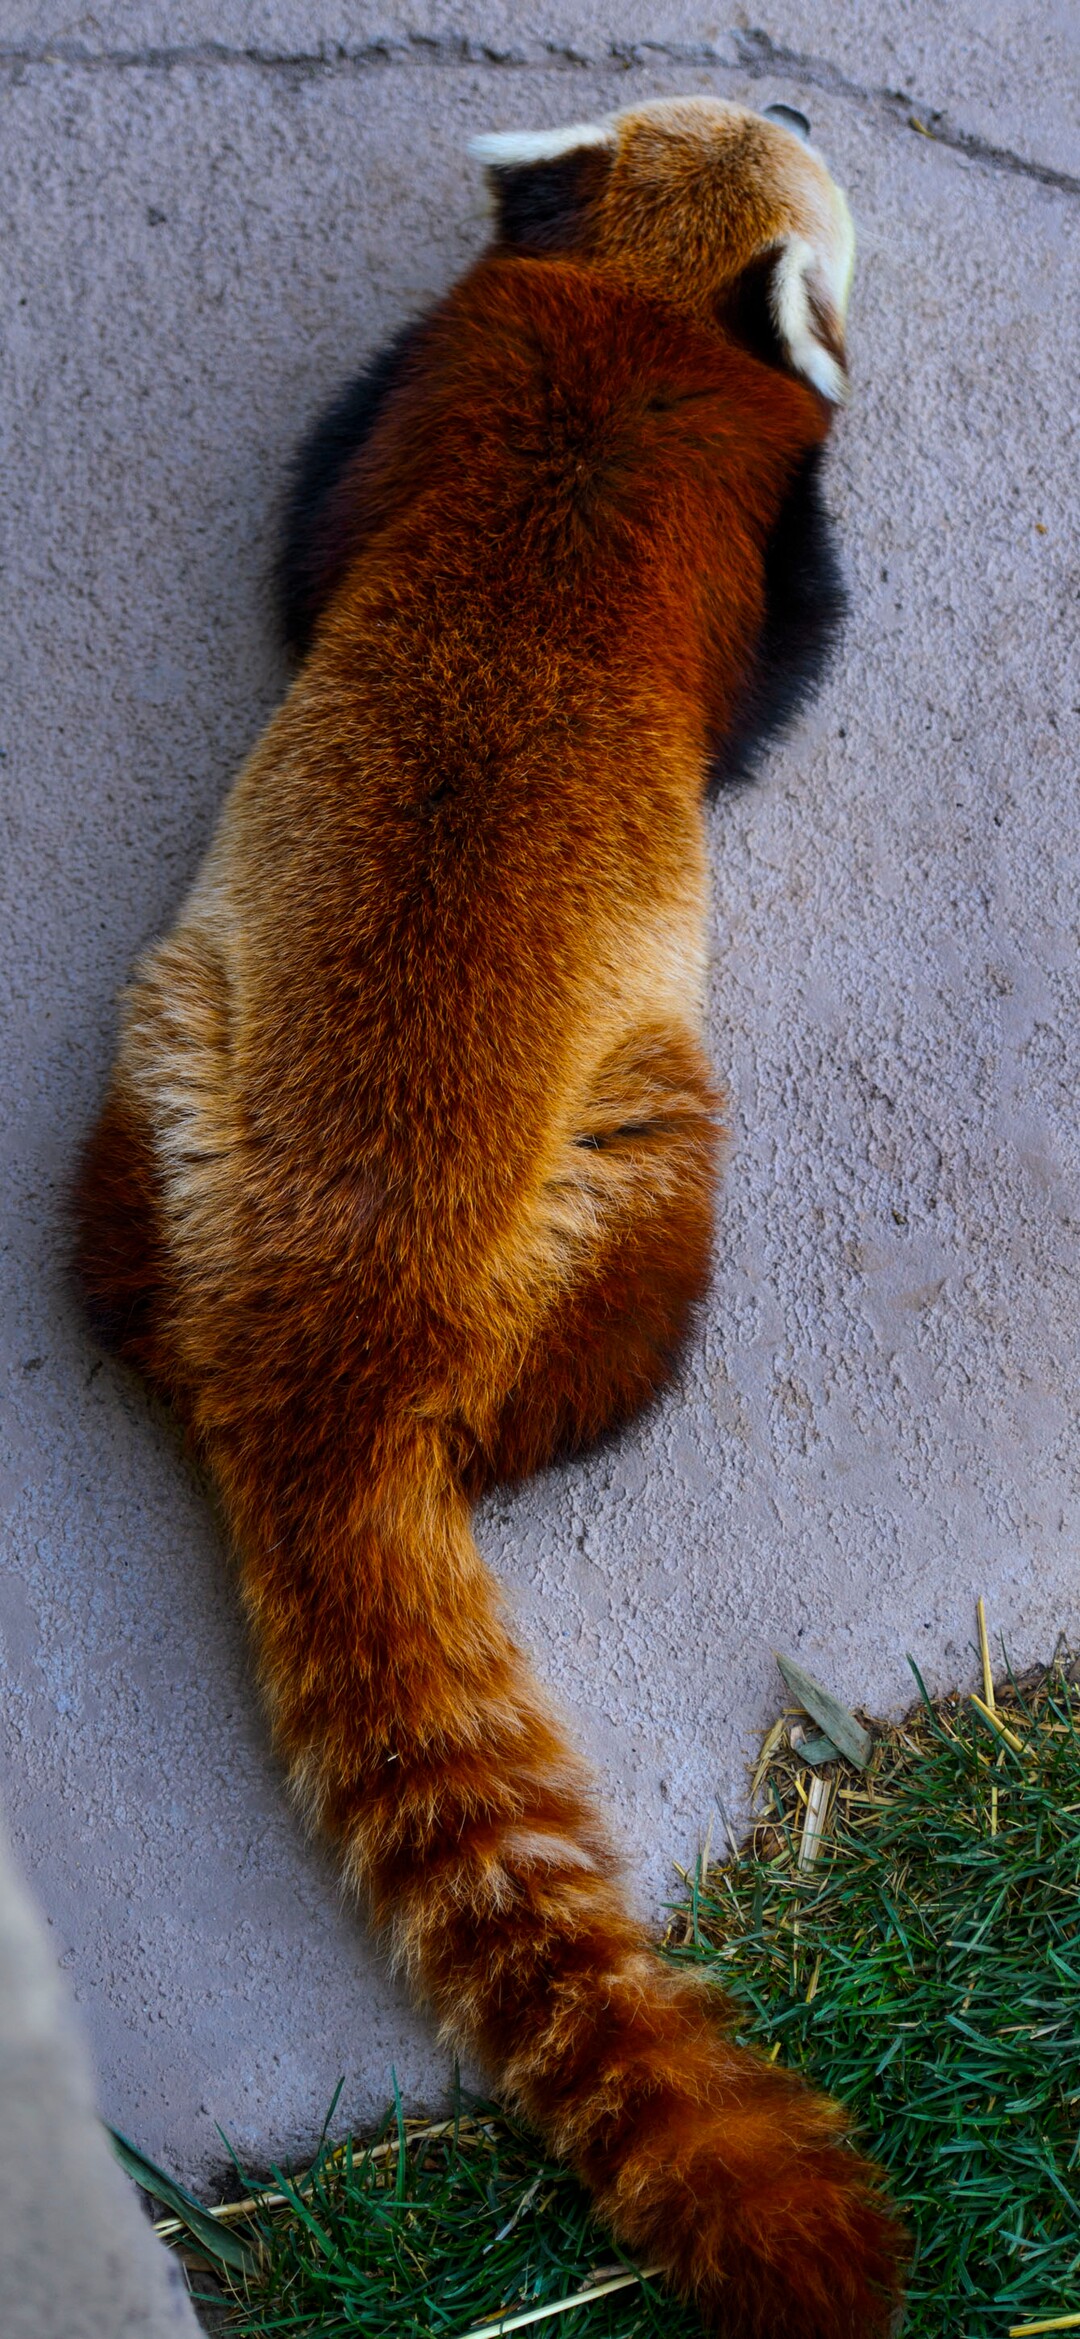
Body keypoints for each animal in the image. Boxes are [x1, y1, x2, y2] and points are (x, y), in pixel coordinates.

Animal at [75, 97, 901, 2337]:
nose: (811, 103)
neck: (636, 313)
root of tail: (337, 1338)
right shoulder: (732, 493)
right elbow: (773, 673)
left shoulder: (427, 390)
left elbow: (309, 553)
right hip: (629, 1146)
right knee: (637, 1284)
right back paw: (549, 1429)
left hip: (179, 1032)